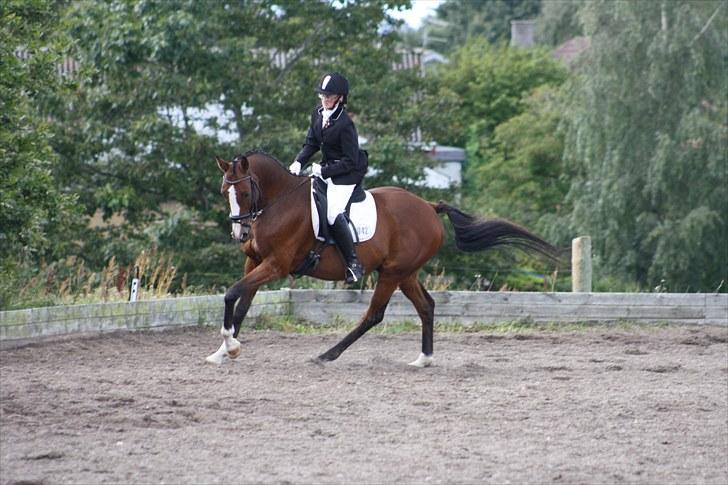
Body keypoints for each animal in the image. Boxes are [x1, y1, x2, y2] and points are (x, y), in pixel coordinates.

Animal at [205, 149, 564, 364]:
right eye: (224, 192)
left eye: (245, 192)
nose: (241, 234)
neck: (279, 203)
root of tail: (429, 207)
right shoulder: (255, 262)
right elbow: (242, 304)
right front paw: (224, 351)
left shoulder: (276, 265)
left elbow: (231, 293)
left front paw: (229, 346)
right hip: (406, 274)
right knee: (426, 306)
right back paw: (424, 359)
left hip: (391, 273)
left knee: (374, 315)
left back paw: (327, 355)